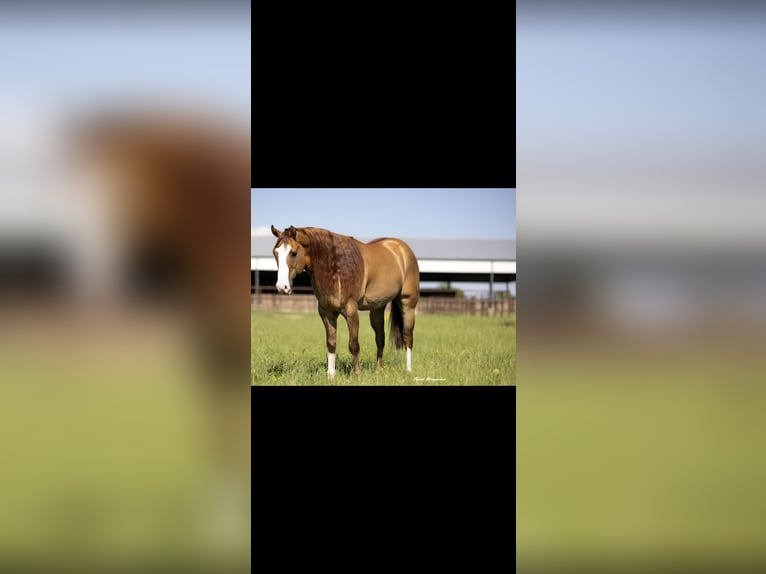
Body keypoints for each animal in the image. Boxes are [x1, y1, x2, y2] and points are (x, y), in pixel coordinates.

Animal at [270, 225, 420, 378]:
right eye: (275, 253)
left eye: (293, 253)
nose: (282, 287)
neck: (336, 267)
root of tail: (402, 249)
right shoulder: (327, 313)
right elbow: (331, 343)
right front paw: (331, 375)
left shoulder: (351, 311)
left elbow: (353, 344)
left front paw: (357, 374)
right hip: (377, 308)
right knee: (380, 338)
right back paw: (378, 370)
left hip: (408, 304)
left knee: (408, 337)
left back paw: (408, 369)